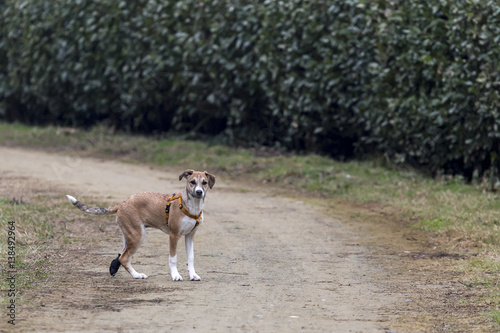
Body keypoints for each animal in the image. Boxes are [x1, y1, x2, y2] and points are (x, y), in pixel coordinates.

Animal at [65, 169, 216, 280]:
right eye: (192, 182)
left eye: (204, 182)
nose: (199, 192)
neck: (191, 206)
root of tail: (122, 204)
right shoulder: (174, 235)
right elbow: (173, 258)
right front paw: (176, 275)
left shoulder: (190, 236)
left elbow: (191, 258)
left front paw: (193, 275)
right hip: (138, 235)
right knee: (124, 258)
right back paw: (137, 275)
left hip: (129, 236)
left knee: (121, 257)